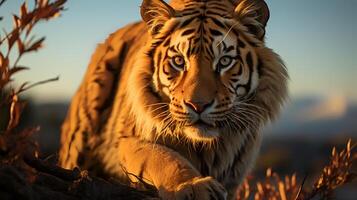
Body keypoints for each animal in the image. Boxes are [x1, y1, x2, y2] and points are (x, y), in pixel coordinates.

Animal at [58, 0, 286, 198]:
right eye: (178, 61)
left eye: (224, 61)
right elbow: (163, 158)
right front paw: (194, 187)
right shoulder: (128, 138)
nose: (198, 105)